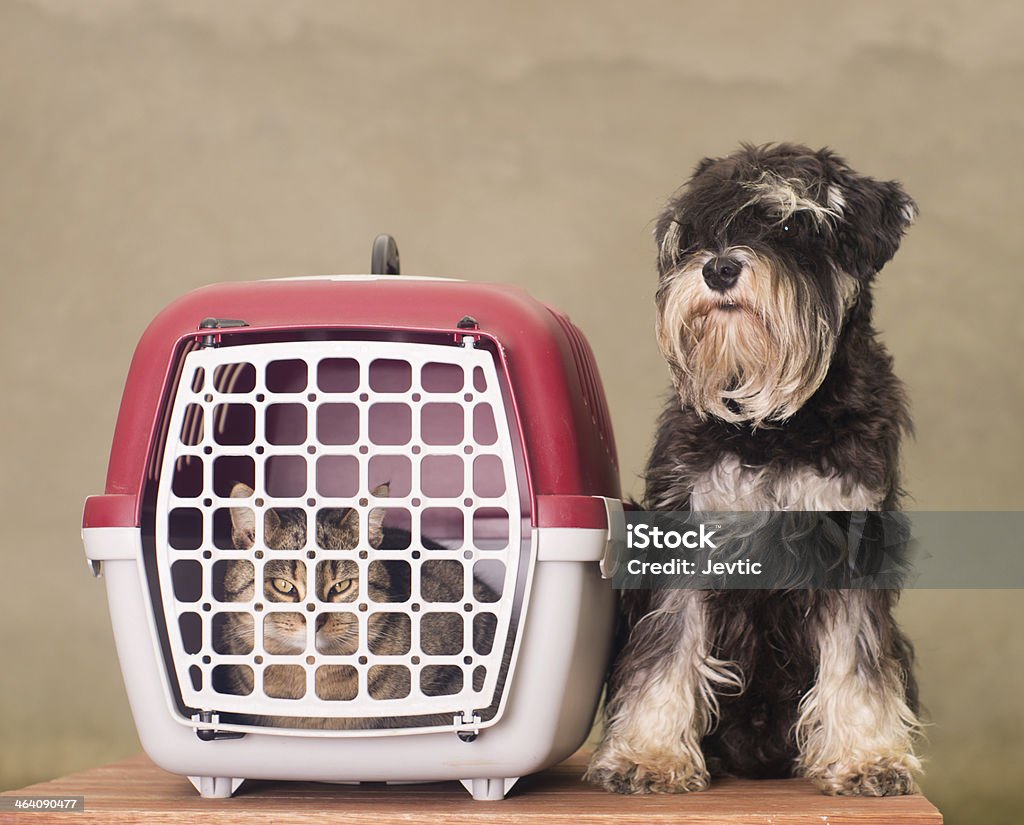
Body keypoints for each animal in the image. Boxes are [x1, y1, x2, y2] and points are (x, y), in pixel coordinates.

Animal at [589, 145, 925, 798]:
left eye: (791, 225)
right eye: (695, 233)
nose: (718, 268)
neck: (773, 424)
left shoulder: (851, 541)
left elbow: (859, 659)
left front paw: (868, 758)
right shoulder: (686, 531)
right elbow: (667, 649)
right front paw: (649, 755)